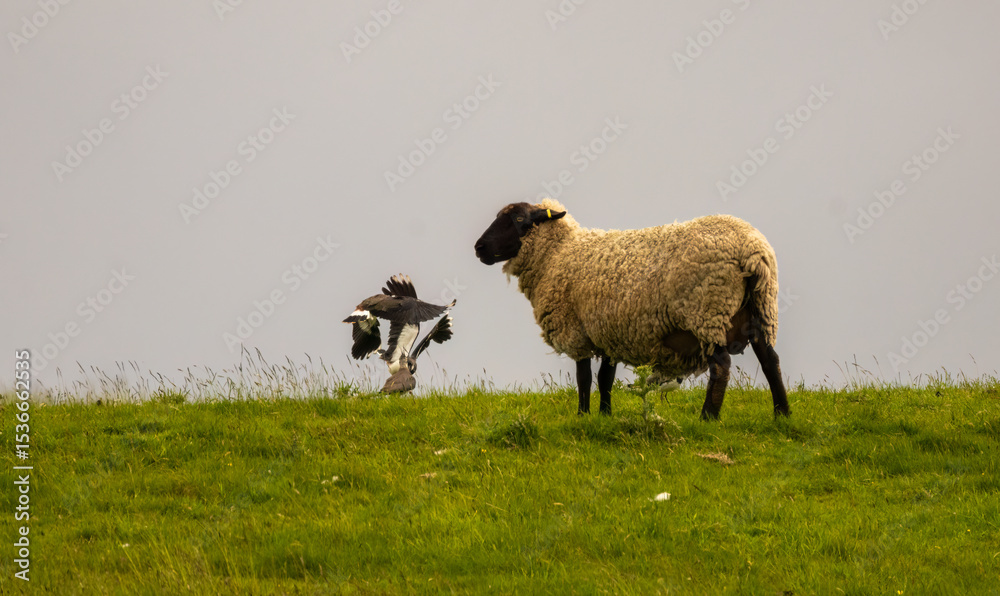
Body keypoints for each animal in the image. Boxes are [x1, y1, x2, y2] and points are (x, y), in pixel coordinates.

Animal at [473, 198, 790, 420]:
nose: (479, 248)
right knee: (770, 361)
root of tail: (752, 250)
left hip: (707, 311)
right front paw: (605, 416)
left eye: (518, 218)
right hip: (760, 311)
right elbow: (605, 379)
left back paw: (707, 418)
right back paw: (782, 414)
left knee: (721, 366)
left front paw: (582, 416)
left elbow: (584, 379)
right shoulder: (609, 332)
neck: (557, 254)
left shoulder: (576, 331)